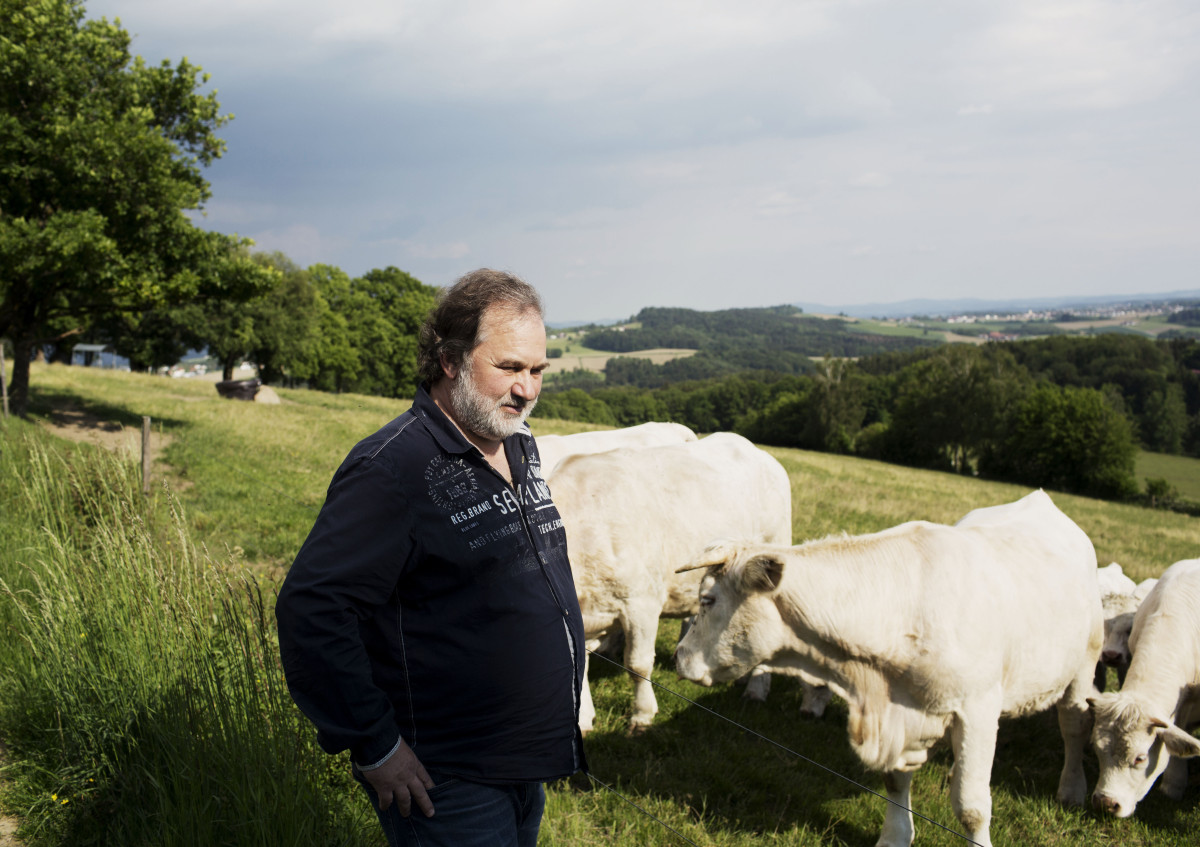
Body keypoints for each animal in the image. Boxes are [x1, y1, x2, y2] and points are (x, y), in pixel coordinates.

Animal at [672, 489, 1099, 844]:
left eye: (707, 599)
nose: (678, 656)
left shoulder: (977, 709)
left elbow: (972, 806)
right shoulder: (901, 714)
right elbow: (895, 781)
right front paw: (894, 837)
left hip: (1084, 664)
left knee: (1073, 723)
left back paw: (1072, 789)